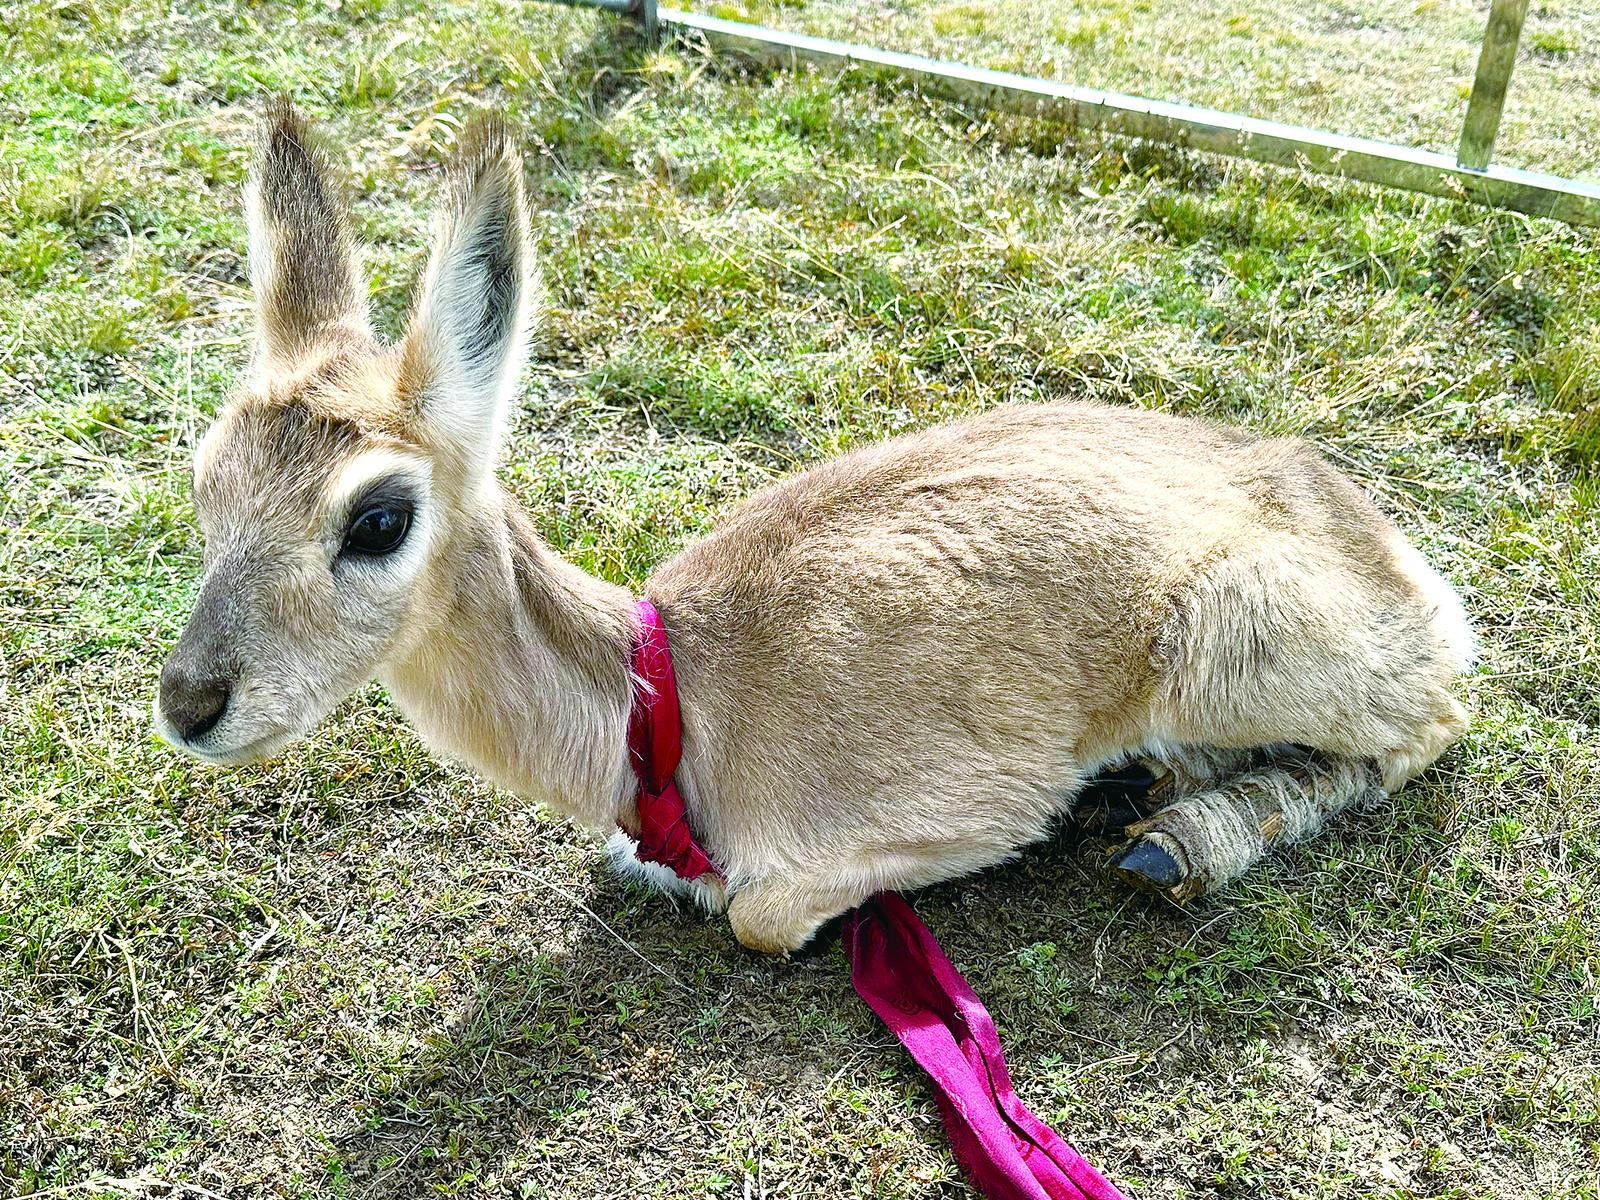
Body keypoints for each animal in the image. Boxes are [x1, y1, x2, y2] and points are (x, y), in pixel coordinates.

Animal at [156, 103, 1465, 953]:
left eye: (379, 515)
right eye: (206, 475)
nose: (190, 704)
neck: (668, 712)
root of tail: (1408, 574)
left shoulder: (932, 818)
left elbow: (762, 915)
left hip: (1232, 641)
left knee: (1426, 733)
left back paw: (1180, 835)